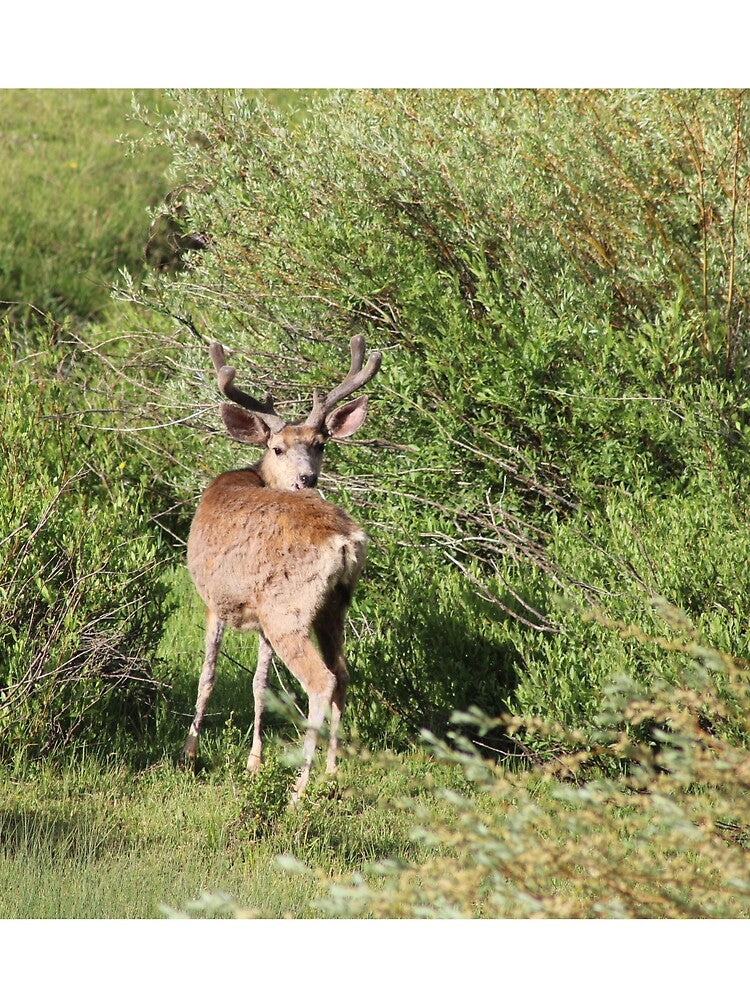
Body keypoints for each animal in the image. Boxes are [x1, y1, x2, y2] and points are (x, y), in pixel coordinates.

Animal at [184, 334, 381, 803]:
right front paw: (254, 763)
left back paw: (298, 790)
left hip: (287, 610)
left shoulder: (215, 600)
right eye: (278, 447)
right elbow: (259, 684)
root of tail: (344, 540)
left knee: (320, 681)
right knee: (342, 673)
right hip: (331, 606)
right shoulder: (258, 615)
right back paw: (331, 771)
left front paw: (190, 752)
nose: (308, 479)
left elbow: (208, 676)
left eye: (320, 444)